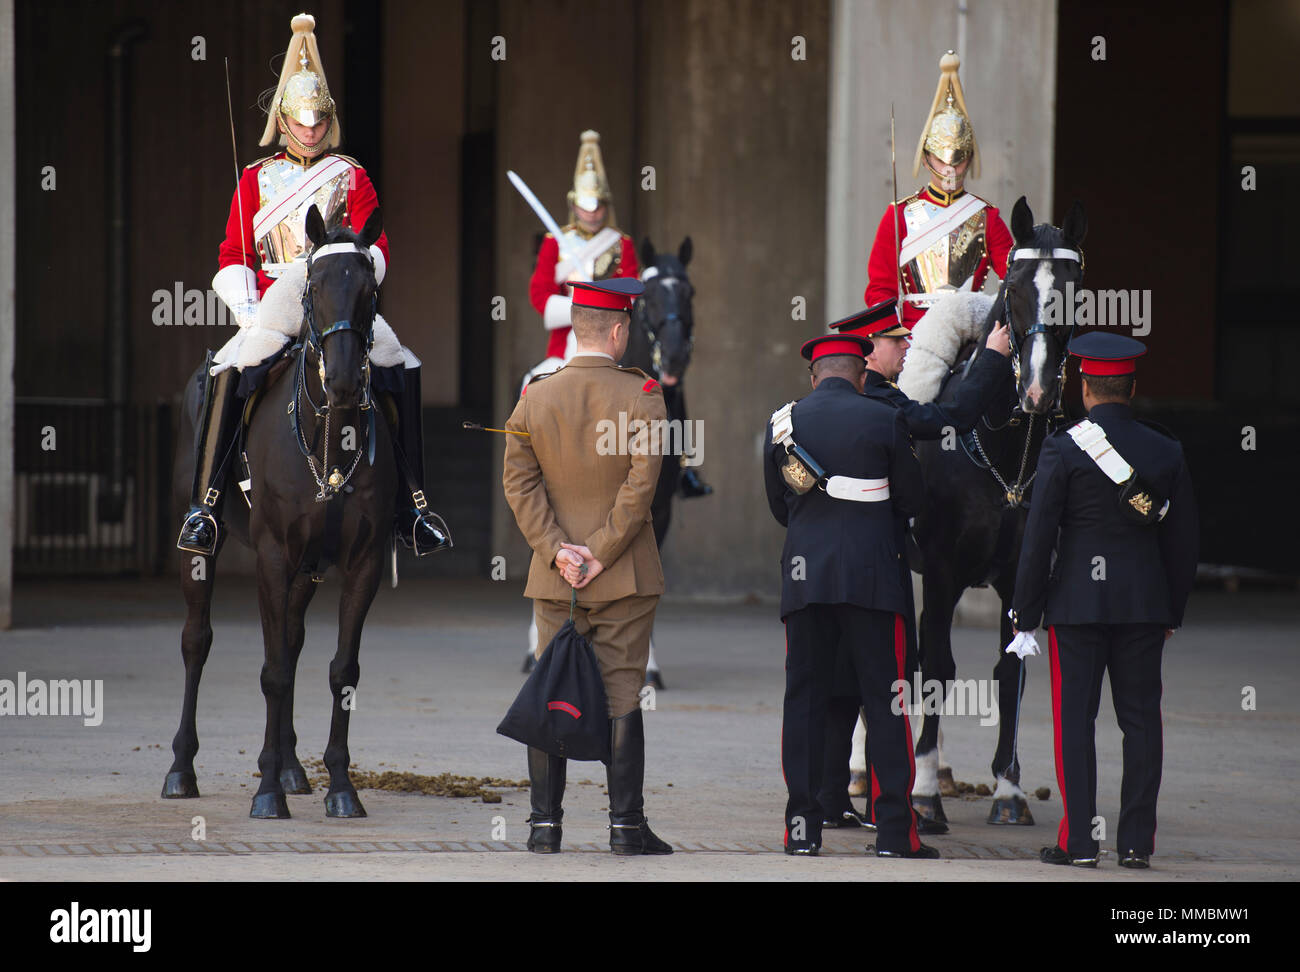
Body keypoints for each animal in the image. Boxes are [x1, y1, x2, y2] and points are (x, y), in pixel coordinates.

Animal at [163, 206, 395, 821]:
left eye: (370, 291)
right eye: (312, 287)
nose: (344, 380)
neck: (328, 438)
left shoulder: (361, 561)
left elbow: (340, 670)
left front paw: (340, 787)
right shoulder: (271, 556)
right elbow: (272, 672)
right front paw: (266, 791)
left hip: (307, 570)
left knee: (290, 640)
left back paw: (291, 768)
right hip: (204, 549)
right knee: (196, 641)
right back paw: (182, 769)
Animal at [915, 197, 1086, 826]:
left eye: (1076, 289)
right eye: (1012, 288)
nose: (1037, 391)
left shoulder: (1021, 573)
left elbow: (1011, 669)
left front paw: (1008, 789)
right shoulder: (941, 570)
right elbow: (938, 665)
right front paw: (923, 793)